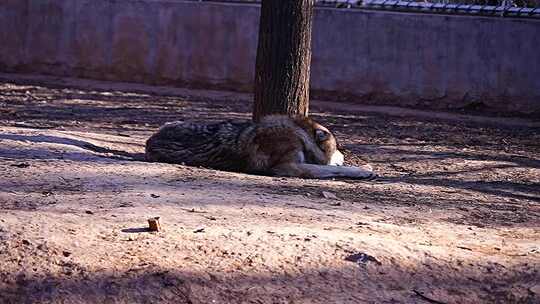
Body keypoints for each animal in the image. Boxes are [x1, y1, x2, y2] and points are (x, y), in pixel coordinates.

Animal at [146, 115, 378, 179]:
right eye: (338, 148)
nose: (344, 154)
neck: (300, 134)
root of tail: (150, 139)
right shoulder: (289, 167)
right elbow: (332, 169)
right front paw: (364, 170)